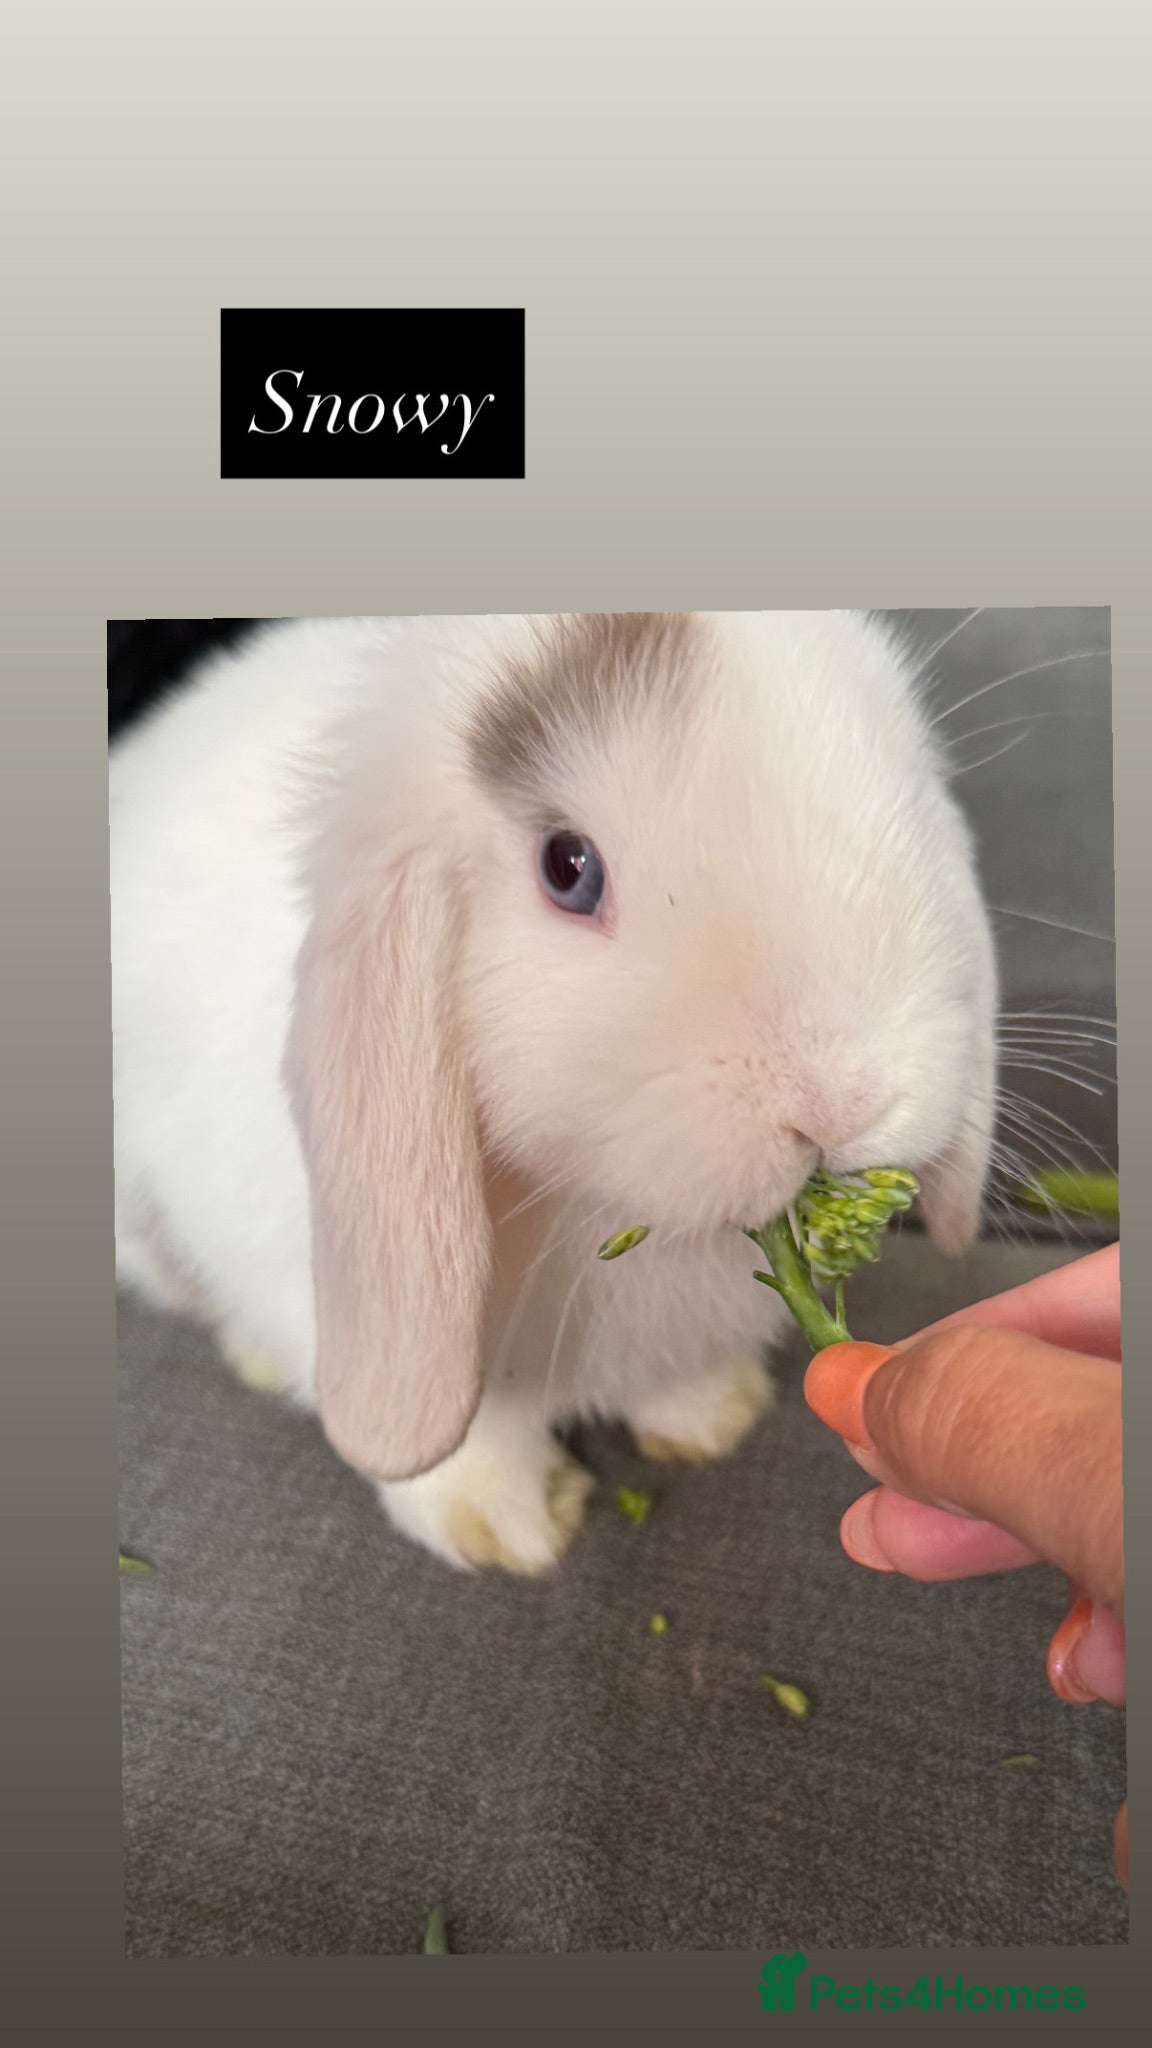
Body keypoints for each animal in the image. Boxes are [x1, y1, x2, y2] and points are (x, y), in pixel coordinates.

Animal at [109, 610, 997, 1573]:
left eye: (908, 809)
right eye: (568, 868)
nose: (844, 1101)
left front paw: (710, 1421)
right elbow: (469, 1438)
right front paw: (512, 1531)